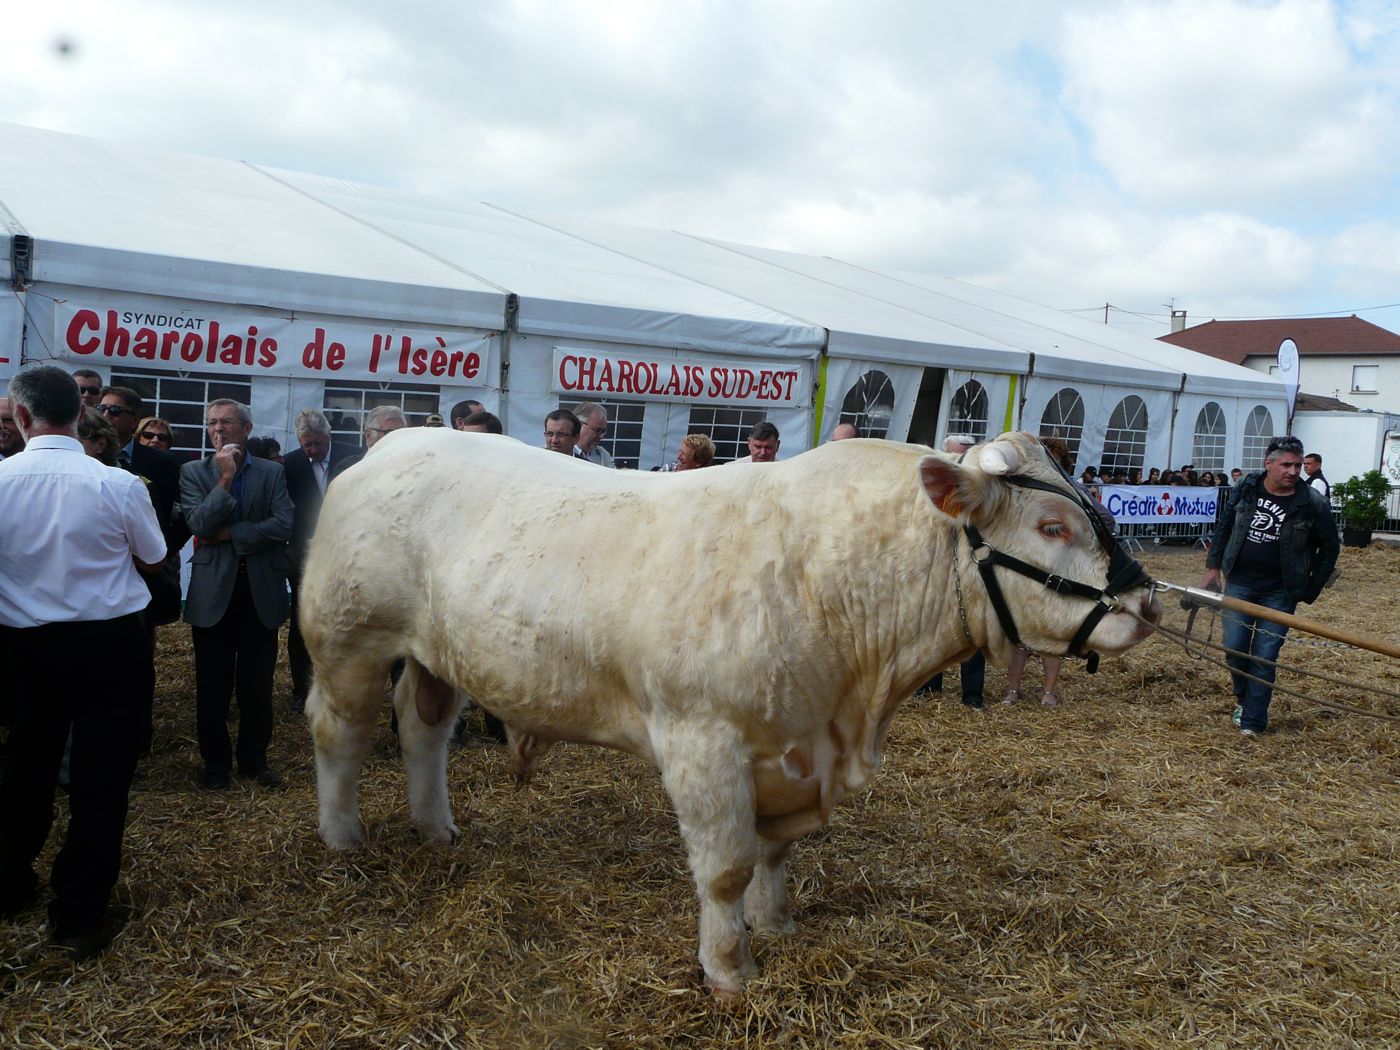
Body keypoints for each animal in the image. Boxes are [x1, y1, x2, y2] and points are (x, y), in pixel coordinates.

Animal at [300, 430, 1160, 993]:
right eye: (1053, 526)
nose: (1148, 604)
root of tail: (390, 443)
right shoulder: (702, 741)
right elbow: (725, 867)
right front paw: (729, 969)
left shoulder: (793, 750)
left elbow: (774, 856)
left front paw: (774, 925)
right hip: (348, 639)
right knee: (339, 730)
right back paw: (341, 839)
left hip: (436, 652)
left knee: (423, 725)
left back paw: (436, 828)